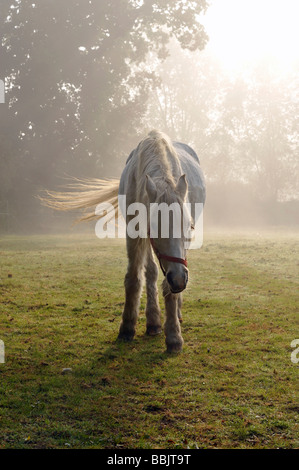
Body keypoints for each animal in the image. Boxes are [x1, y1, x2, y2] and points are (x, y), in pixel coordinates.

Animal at [42, 130, 206, 350]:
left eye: (190, 226)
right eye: (155, 227)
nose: (179, 280)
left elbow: (167, 284)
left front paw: (174, 337)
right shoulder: (135, 231)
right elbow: (134, 278)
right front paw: (127, 327)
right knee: (151, 272)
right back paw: (153, 322)